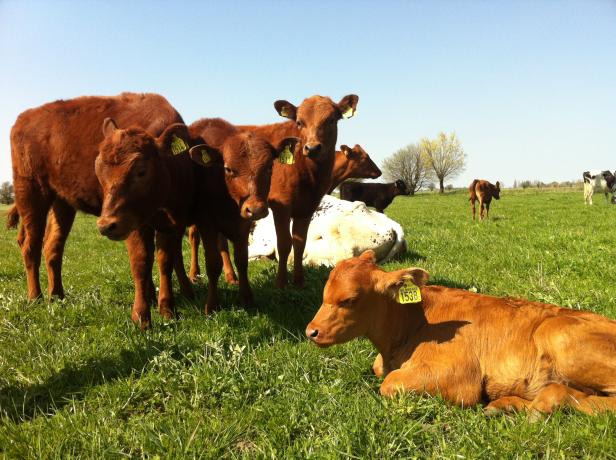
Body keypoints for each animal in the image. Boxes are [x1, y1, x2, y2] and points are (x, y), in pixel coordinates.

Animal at [6, 91, 190, 326]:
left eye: (141, 170)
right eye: (99, 171)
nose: (105, 225)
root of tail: (23, 119)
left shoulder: (170, 222)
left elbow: (165, 261)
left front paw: (167, 310)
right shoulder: (132, 224)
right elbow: (141, 262)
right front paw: (141, 317)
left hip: (62, 203)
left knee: (53, 246)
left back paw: (57, 296)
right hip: (31, 194)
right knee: (31, 246)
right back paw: (35, 297)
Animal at [184, 117, 298, 314]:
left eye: (269, 167)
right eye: (228, 169)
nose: (256, 209)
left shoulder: (243, 224)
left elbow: (242, 259)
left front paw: (246, 298)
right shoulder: (207, 223)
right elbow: (212, 263)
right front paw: (211, 305)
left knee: (223, 246)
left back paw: (231, 276)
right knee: (193, 239)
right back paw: (193, 274)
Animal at [306, 250, 616, 416]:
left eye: (349, 300)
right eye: (323, 293)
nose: (312, 332)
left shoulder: (457, 377)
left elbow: (389, 383)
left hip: (557, 334)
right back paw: (505, 405)